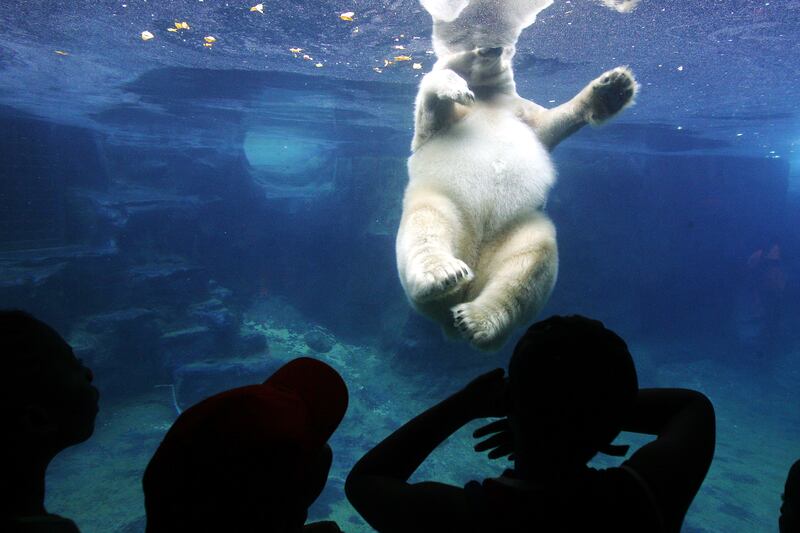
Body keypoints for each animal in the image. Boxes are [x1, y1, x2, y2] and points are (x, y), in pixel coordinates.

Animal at [396, 0, 638, 351]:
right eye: (468, 42)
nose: (493, 46)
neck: (488, 96)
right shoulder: (437, 128)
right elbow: (430, 98)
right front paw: (456, 87)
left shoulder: (522, 112)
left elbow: (551, 123)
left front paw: (614, 88)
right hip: (443, 203)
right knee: (427, 228)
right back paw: (444, 274)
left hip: (518, 228)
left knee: (529, 263)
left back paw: (477, 320)